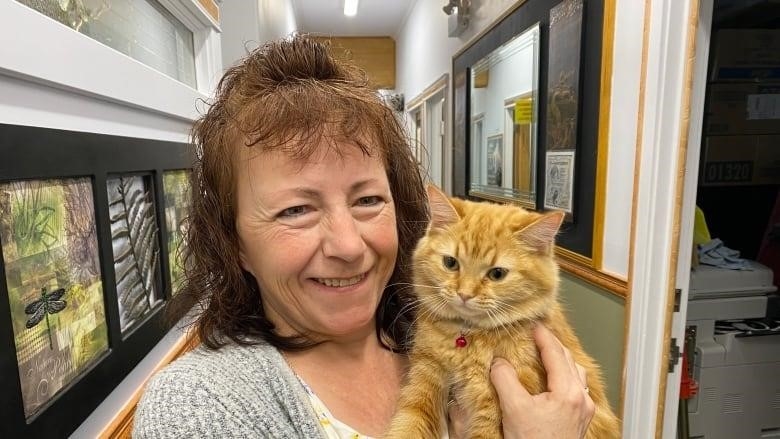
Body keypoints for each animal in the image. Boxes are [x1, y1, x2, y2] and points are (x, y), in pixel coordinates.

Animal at [386, 186, 620, 439]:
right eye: (450, 263)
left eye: (497, 274)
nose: (464, 294)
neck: (467, 338)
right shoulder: (425, 377)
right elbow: (407, 426)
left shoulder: (492, 412)